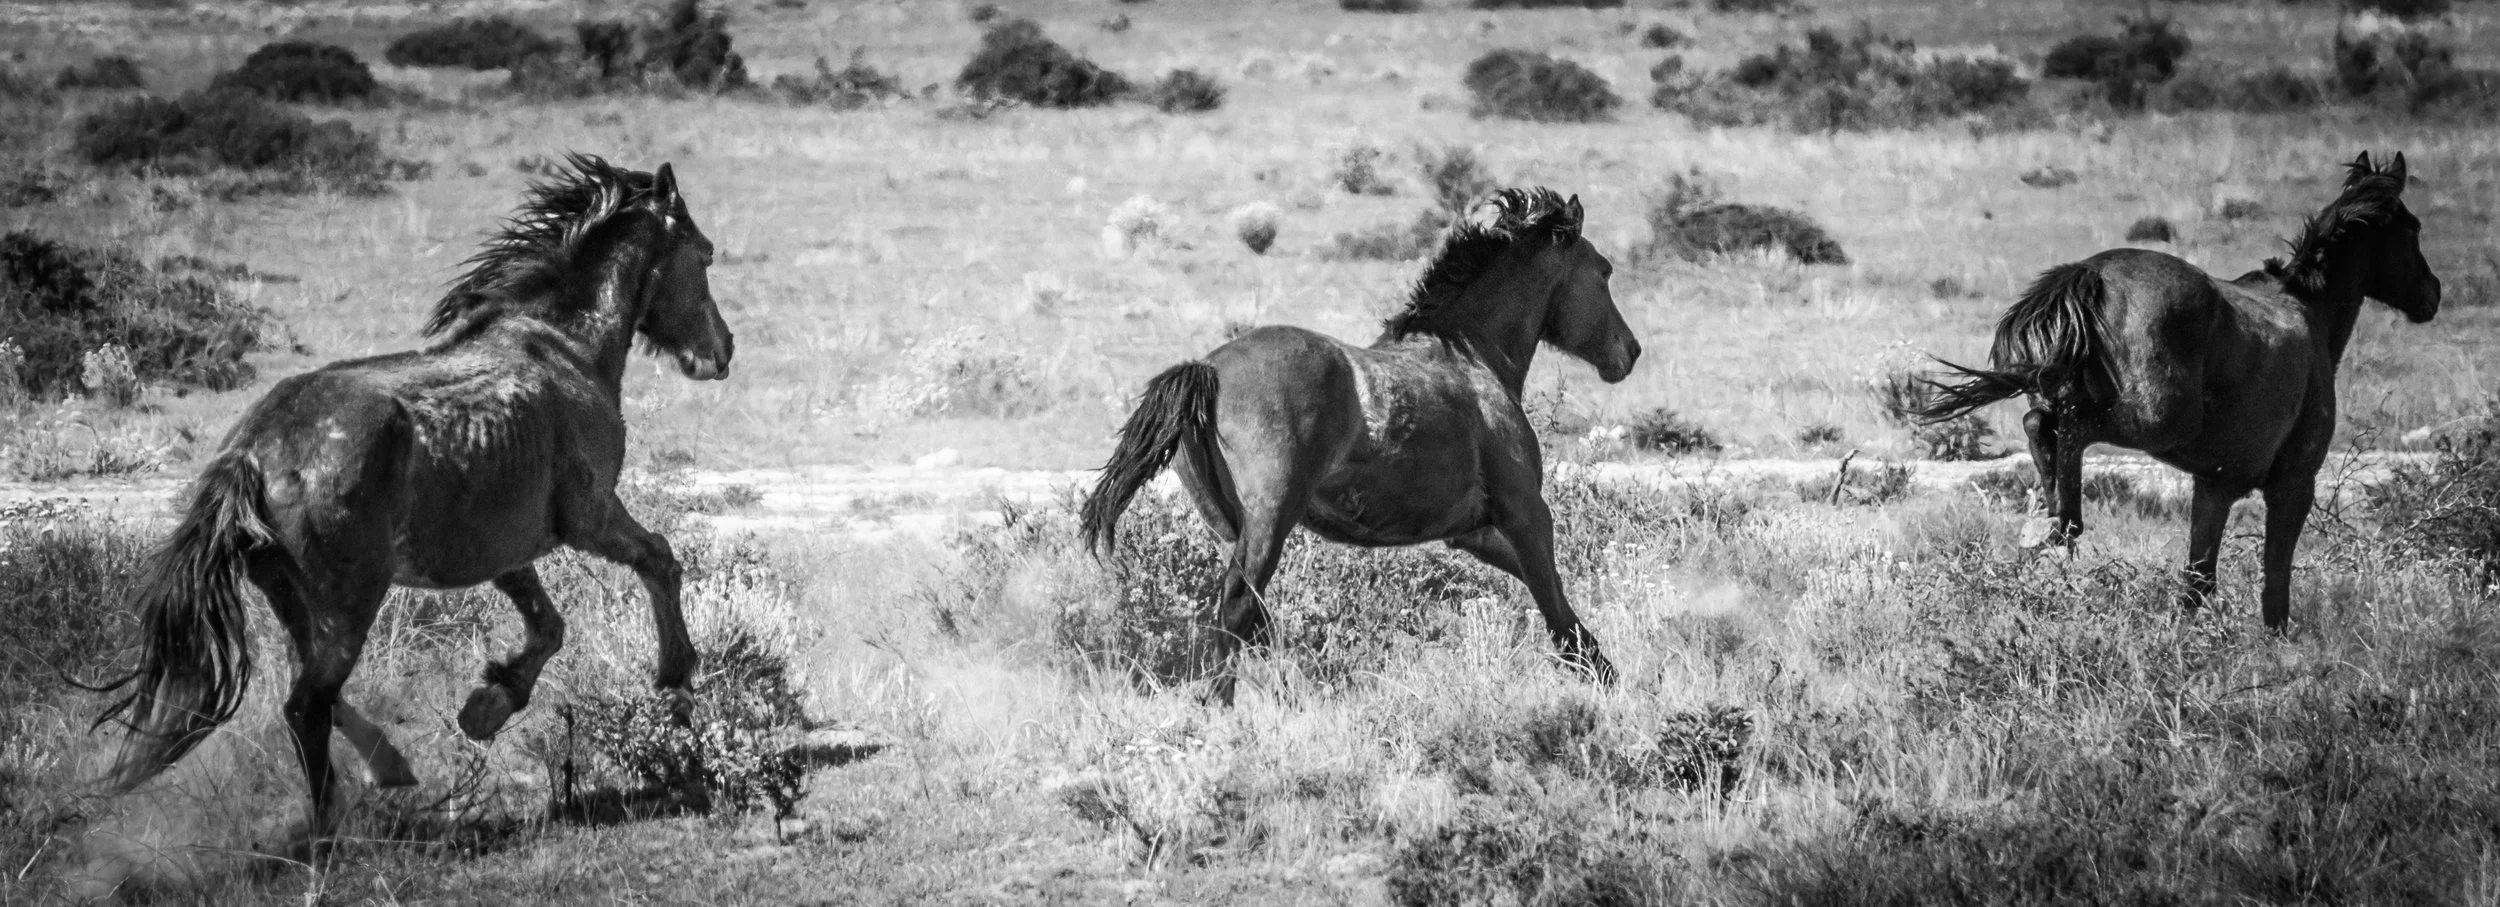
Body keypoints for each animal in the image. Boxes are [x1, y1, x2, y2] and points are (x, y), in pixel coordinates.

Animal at [93, 153, 735, 850]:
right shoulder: (590, 515)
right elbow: (660, 560)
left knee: (314, 691)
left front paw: (487, 706)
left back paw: (389, 771)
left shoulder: (505, 550)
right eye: (704, 255)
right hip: (350, 600)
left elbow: (549, 626)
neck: (563, 346)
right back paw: (330, 834)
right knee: (306, 704)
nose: (722, 350)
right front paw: (676, 683)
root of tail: (254, 452)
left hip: (293, 596)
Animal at [1080, 188, 1641, 701]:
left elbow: (1551, 598)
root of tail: (1209, 369)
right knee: (1237, 611)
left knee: (1251, 619)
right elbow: (1557, 607)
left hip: (1227, 525)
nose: (1630, 352)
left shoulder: (1474, 533)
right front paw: (1611, 685)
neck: (1472, 359)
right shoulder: (1525, 511)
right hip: (1270, 519)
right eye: (1605, 270)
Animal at [1915, 152, 2440, 630]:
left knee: (2039, 422)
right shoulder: (2294, 485)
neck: (2310, 313)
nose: (2432, 294)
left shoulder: (2214, 486)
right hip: (2155, 421)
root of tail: (2092, 274)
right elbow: (2275, 581)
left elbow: (2198, 580)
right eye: (2412, 228)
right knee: (2070, 426)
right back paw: (2063, 521)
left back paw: (2049, 517)